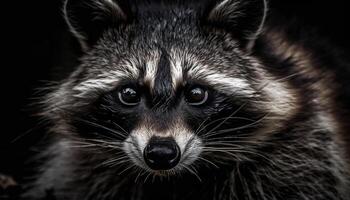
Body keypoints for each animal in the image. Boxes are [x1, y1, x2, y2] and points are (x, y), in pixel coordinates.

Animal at [23, 0, 350, 200]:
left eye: (196, 93)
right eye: (128, 94)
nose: (161, 153)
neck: (171, 178)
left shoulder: (303, 153)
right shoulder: (80, 169)